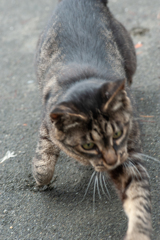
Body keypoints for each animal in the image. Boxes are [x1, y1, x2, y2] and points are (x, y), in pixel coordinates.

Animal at [32, 0, 151, 239]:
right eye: (87, 145)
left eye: (118, 133)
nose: (112, 160)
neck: (83, 78)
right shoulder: (48, 123)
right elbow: (44, 157)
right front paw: (41, 178)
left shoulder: (129, 152)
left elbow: (137, 197)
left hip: (130, 57)